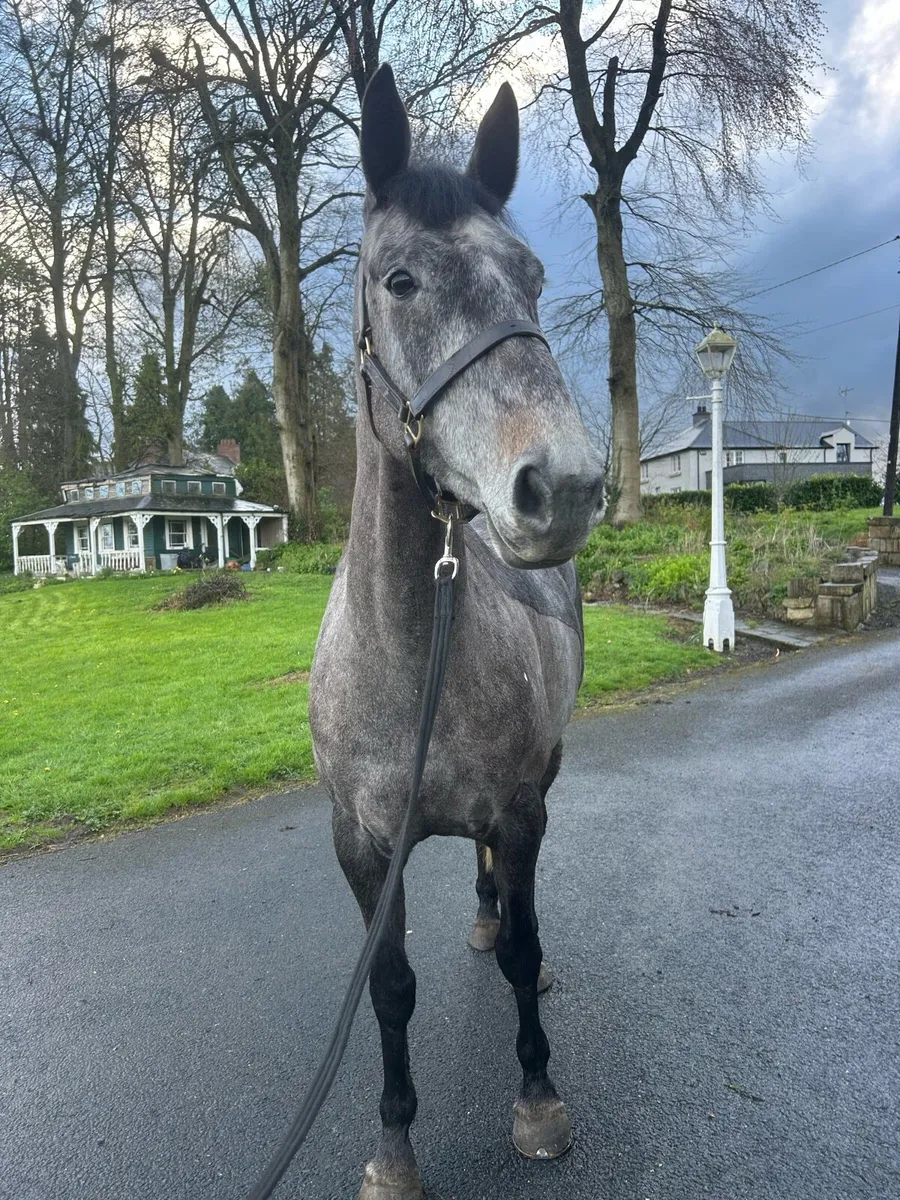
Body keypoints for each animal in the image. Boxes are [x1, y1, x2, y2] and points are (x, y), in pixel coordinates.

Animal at [309, 64, 605, 1200]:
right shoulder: (360, 844)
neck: (408, 660)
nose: (563, 486)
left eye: (532, 276)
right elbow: (389, 988)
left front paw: (538, 1100)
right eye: (399, 280)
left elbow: (522, 955)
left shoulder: (521, 805)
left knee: (519, 911)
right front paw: (393, 1150)